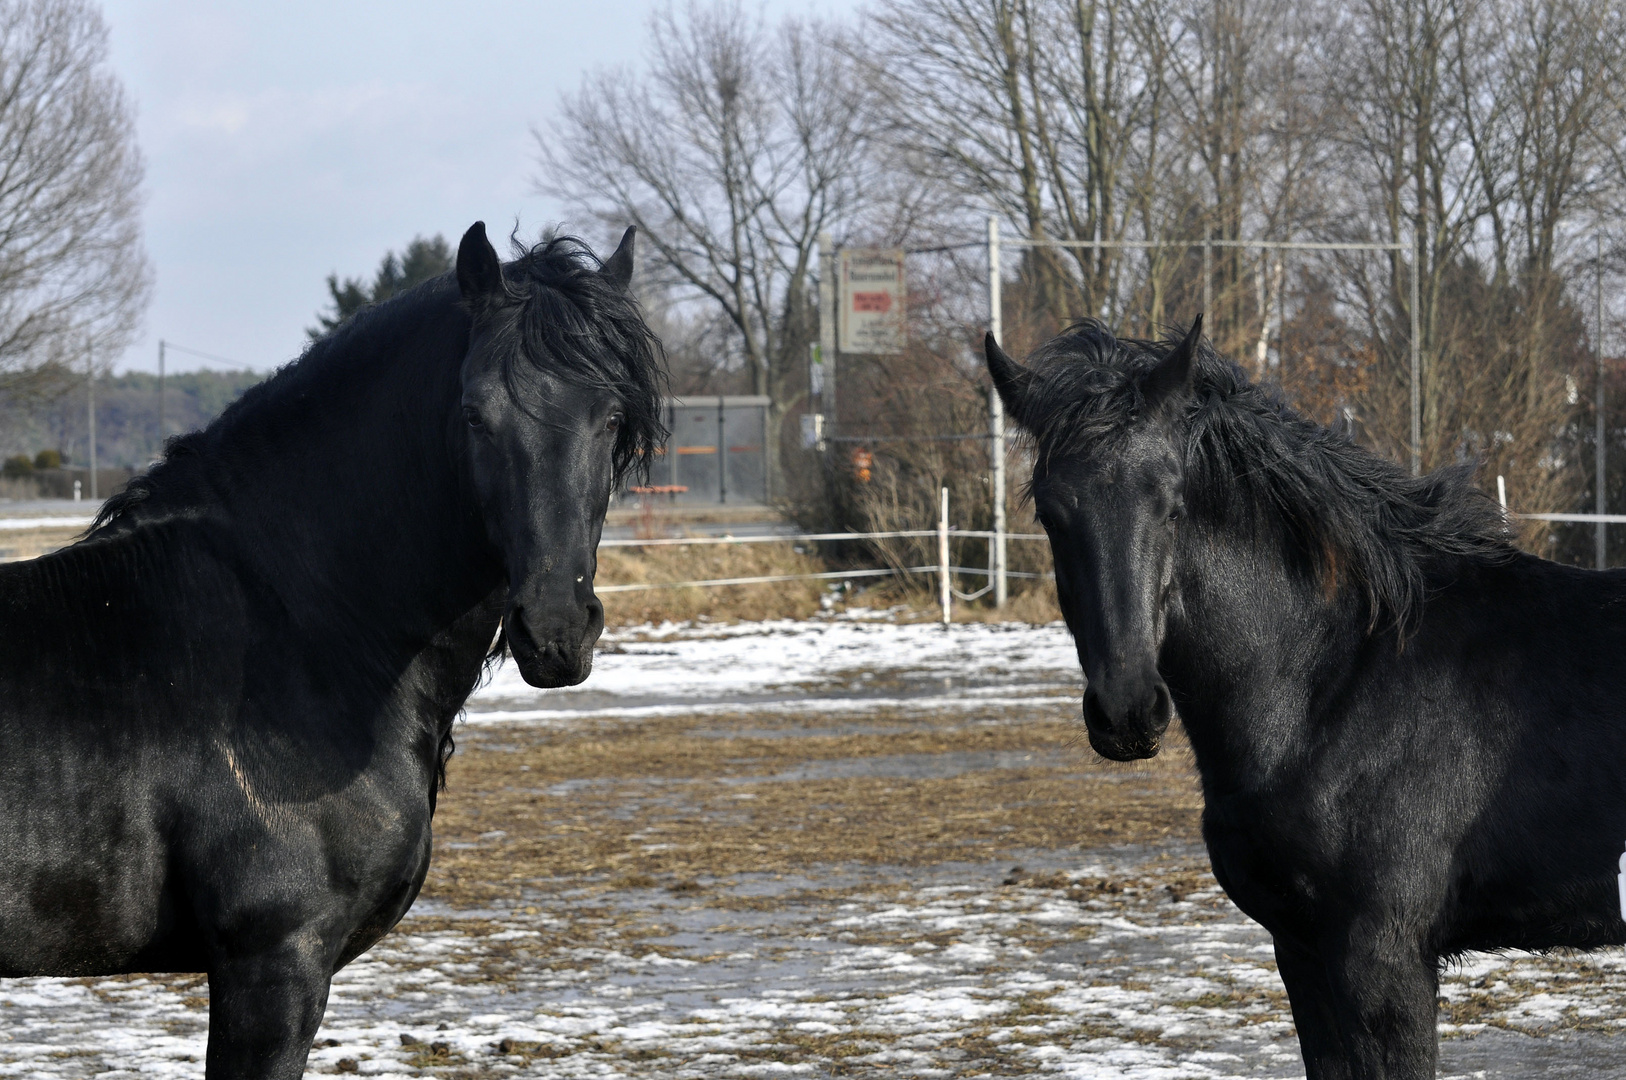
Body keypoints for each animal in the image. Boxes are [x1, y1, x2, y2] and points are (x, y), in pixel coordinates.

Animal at [982, 320, 1626, 1080]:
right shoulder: (1303, 954)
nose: (1127, 712)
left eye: (1170, 505)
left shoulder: (1383, 965)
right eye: (1052, 514)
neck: (1332, 682)